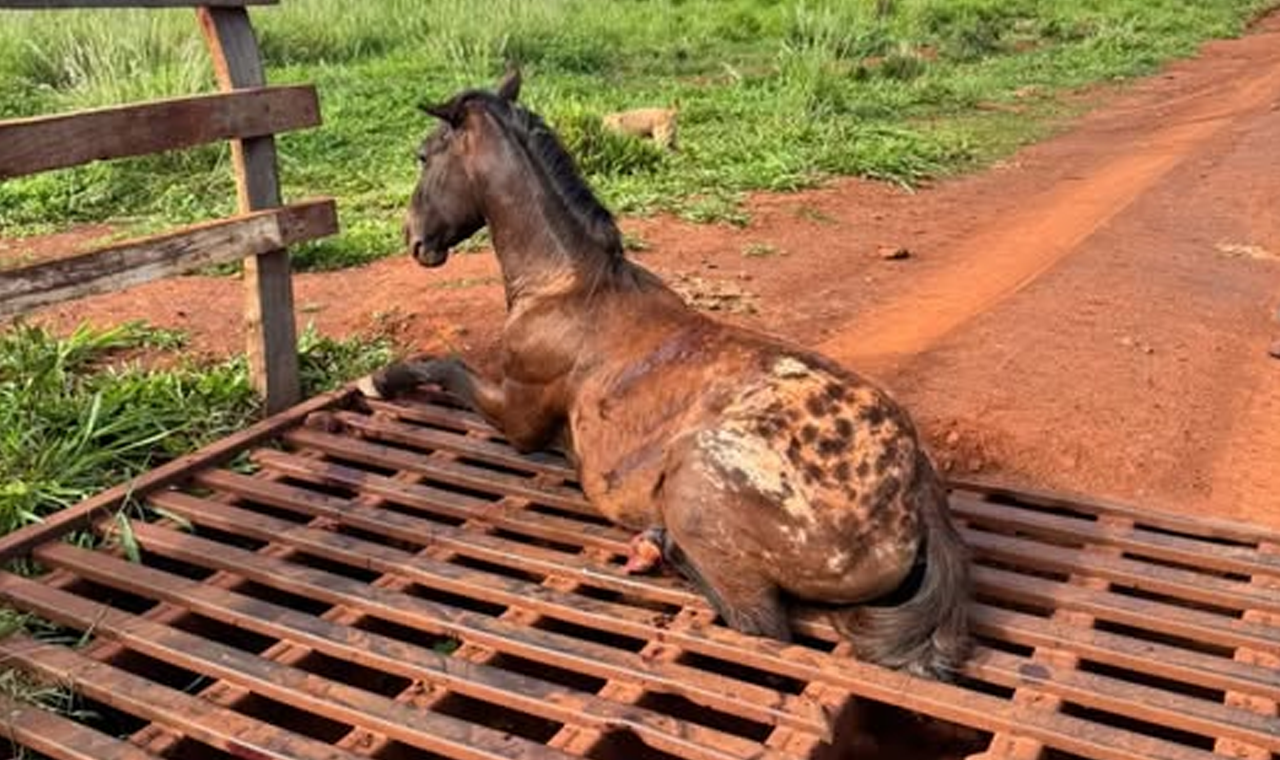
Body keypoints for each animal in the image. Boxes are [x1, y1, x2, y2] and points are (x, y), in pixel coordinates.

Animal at [358, 70, 971, 679]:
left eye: (422, 156)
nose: (414, 240)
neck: (566, 286)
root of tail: (913, 490)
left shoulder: (514, 415)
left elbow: (444, 365)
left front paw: (379, 381)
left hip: (693, 479)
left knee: (757, 622)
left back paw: (659, 546)